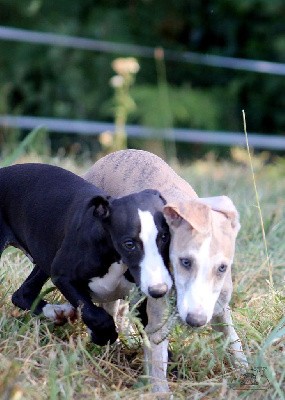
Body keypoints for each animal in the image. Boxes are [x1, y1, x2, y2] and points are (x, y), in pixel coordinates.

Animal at [0, 164, 171, 346]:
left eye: (165, 237)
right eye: (129, 244)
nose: (159, 290)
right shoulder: (63, 277)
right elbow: (96, 315)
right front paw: (103, 336)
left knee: (23, 293)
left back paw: (57, 312)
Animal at [84, 148, 246, 392]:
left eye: (222, 268)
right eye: (185, 262)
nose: (195, 321)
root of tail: (114, 154)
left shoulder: (218, 308)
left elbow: (233, 339)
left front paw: (251, 372)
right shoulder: (158, 326)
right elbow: (158, 370)